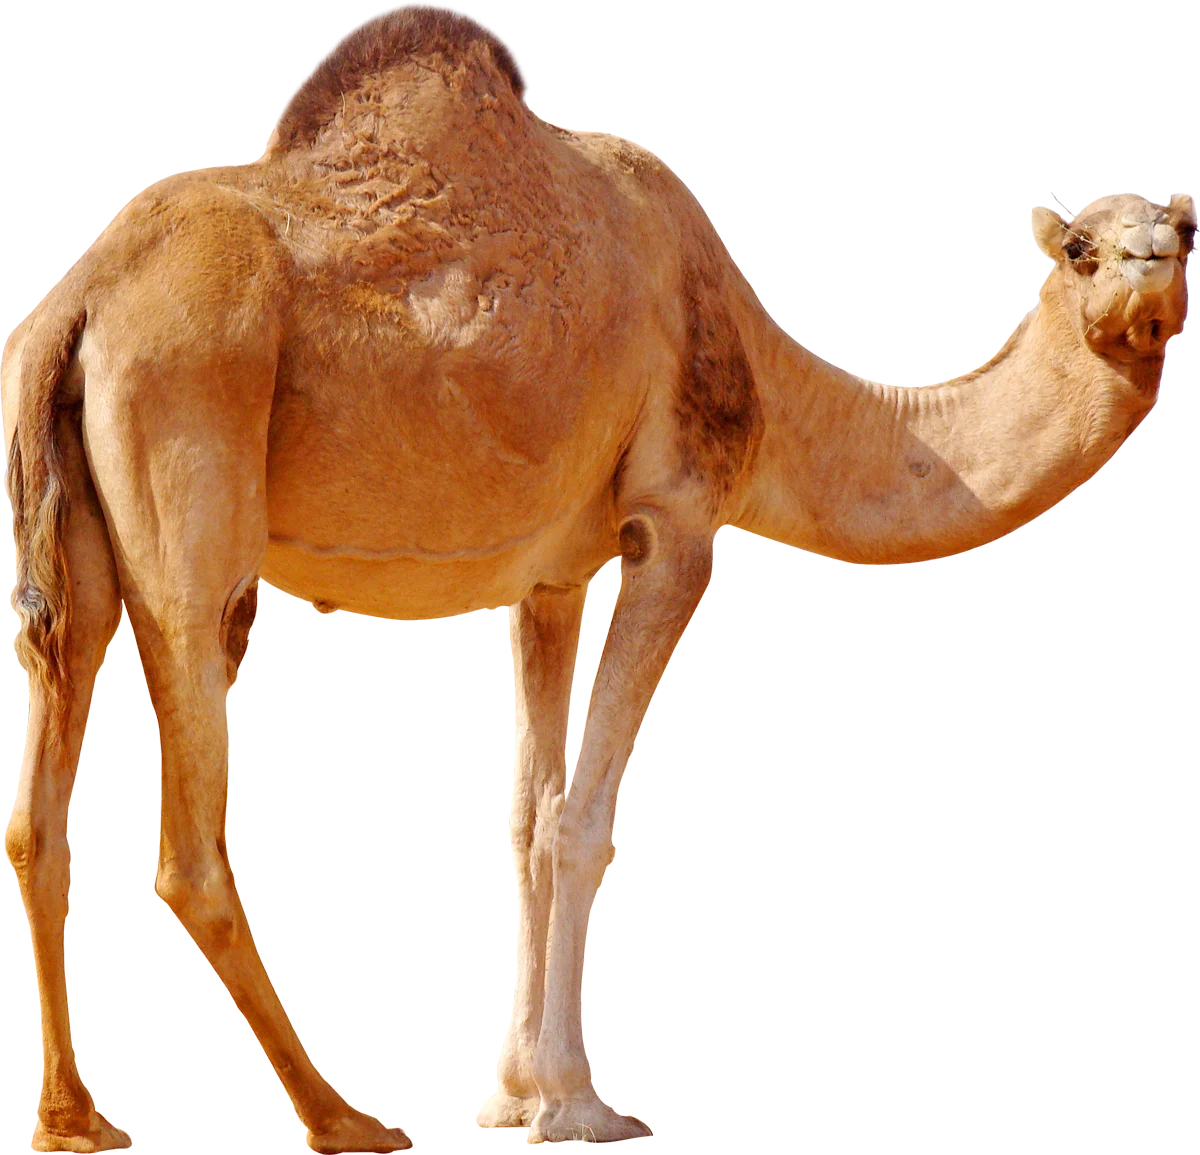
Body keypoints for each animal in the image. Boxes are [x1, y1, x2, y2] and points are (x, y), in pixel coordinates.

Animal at [1, 5, 1193, 1153]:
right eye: (1080, 246)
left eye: (1182, 230)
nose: (1148, 272)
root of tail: (80, 298)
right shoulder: (673, 525)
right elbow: (584, 817)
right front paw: (577, 1102)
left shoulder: (552, 581)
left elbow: (527, 816)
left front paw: (513, 1091)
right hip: (192, 458)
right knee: (188, 837)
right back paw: (342, 1117)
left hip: (75, 537)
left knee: (38, 812)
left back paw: (79, 1118)